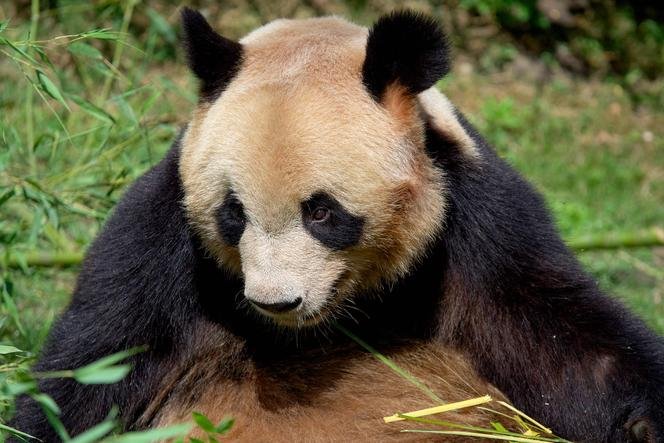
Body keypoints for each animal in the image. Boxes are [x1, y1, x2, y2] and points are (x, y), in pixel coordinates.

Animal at [11, 8, 664, 443]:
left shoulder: (476, 220)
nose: (276, 302)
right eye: (232, 212)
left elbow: (565, 344)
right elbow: (94, 368)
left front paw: (646, 421)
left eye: (321, 212)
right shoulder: (160, 236)